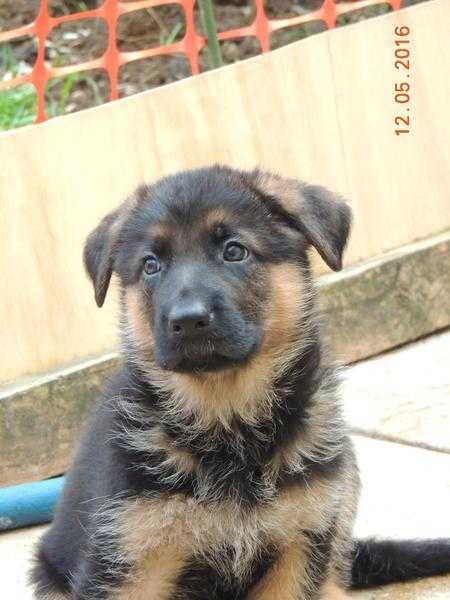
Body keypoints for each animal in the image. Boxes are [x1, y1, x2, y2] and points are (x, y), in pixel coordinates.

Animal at [31, 165, 450, 600]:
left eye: (234, 251)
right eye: (151, 265)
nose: (187, 320)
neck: (227, 420)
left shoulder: (298, 548)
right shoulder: (131, 564)